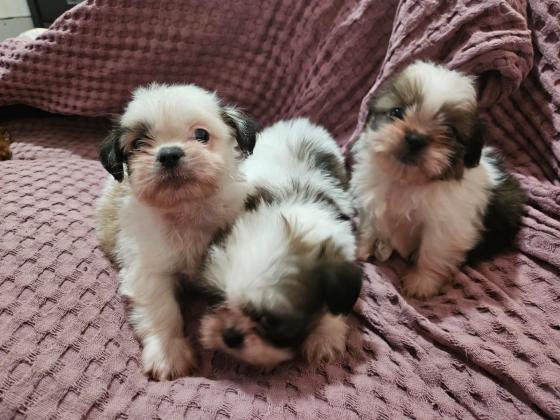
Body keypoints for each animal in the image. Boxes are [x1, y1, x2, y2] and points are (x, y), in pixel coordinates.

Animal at [96, 83, 258, 380]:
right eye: (139, 144)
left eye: (201, 135)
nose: (169, 153)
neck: (187, 210)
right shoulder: (149, 270)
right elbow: (162, 310)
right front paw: (168, 352)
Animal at [198, 118, 363, 368]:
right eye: (218, 298)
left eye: (269, 321)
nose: (230, 336)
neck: (296, 219)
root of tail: (299, 122)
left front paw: (325, 336)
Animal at [351, 60, 525, 299]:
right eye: (396, 112)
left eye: (449, 131)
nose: (415, 138)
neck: (407, 181)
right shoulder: (370, 201)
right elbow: (369, 226)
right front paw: (362, 248)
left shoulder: (446, 229)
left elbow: (432, 252)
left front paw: (422, 283)